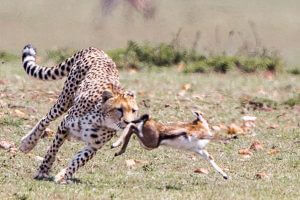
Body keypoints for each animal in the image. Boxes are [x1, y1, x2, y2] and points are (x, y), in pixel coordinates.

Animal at [19, 44, 139, 184]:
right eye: (119, 109)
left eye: (133, 110)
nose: (129, 122)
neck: (101, 121)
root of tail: (96, 49)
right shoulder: (64, 124)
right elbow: (52, 150)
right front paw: (43, 170)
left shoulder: (93, 146)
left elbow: (79, 161)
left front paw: (63, 176)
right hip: (64, 101)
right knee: (45, 119)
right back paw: (28, 143)